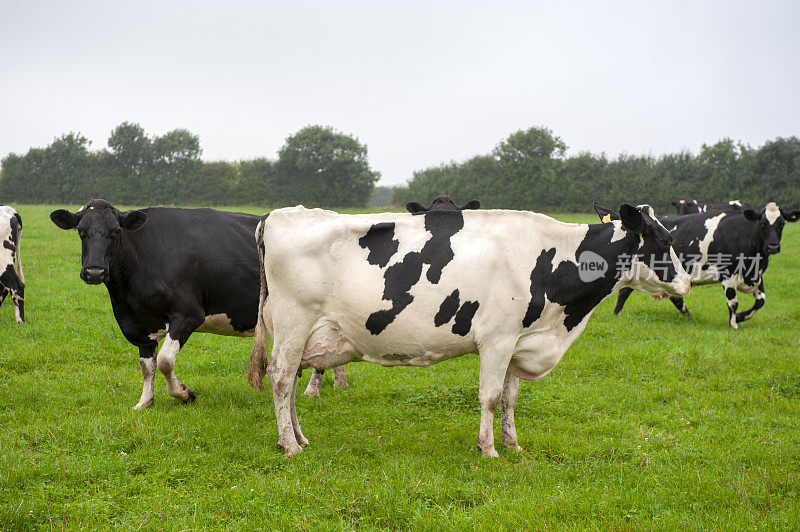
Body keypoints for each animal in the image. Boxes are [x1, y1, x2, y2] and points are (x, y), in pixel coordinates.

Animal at [51, 200, 268, 408]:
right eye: (80, 230)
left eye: (116, 230)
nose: (94, 272)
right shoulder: (138, 324)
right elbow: (147, 366)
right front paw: (145, 402)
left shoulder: (188, 314)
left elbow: (164, 361)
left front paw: (185, 393)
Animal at [248, 204, 688, 458]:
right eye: (665, 238)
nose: (685, 283)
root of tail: (276, 215)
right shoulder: (497, 339)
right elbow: (490, 397)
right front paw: (488, 449)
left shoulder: (517, 341)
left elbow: (510, 398)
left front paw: (513, 445)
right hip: (293, 323)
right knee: (282, 378)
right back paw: (289, 445)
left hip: (302, 333)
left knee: (290, 382)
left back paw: (299, 438)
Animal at [600, 203, 800, 328]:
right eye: (763, 223)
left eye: (782, 224)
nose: (772, 246)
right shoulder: (728, 275)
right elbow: (733, 302)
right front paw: (733, 323)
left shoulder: (757, 275)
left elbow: (761, 301)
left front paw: (741, 317)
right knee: (624, 291)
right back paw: (617, 315)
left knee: (675, 298)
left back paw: (689, 316)